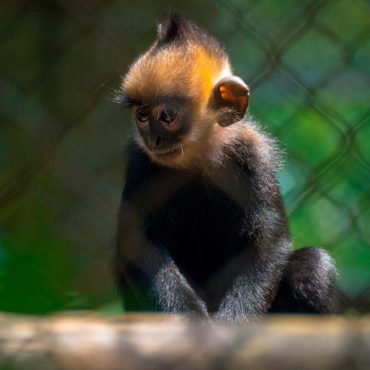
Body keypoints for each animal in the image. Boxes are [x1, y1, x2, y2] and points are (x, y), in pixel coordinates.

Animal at [114, 13, 336, 320]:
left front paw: (235, 320)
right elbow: (136, 241)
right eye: (142, 117)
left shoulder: (255, 155)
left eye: (167, 116)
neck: (199, 158)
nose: (153, 140)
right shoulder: (140, 161)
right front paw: (189, 318)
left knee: (316, 267)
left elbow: (268, 241)